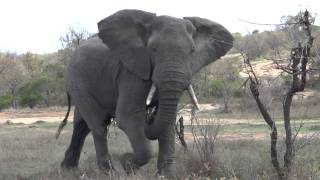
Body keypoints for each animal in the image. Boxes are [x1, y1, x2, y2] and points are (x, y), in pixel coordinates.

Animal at [57, 9, 232, 178]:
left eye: (192, 51)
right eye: (153, 49)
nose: (151, 115)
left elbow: (168, 122)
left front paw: (166, 175)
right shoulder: (130, 73)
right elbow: (128, 116)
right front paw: (127, 164)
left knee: (82, 126)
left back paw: (68, 169)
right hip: (77, 81)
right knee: (98, 125)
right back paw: (109, 173)